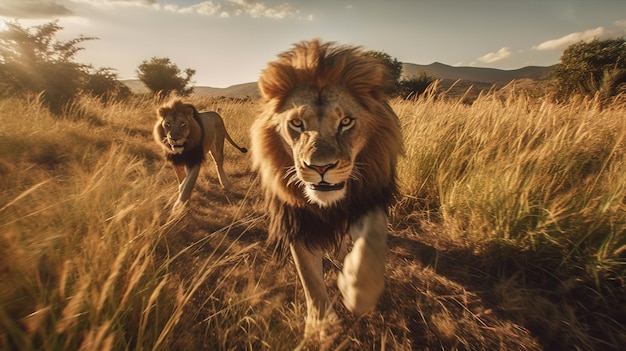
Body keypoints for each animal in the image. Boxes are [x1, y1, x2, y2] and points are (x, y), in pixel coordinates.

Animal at [250, 40, 402, 340]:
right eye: (297, 124)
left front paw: (357, 291)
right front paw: (321, 326)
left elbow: (372, 241)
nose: (321, 167)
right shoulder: (297, 220)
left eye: (346, 122)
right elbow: (310, 277)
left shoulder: (368, 198)